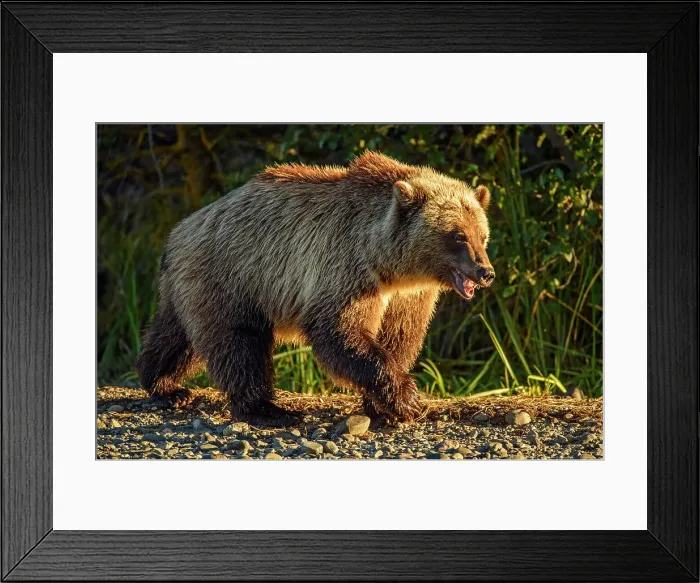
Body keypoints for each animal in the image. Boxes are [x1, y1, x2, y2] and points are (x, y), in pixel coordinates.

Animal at [135, 151, 495, 426]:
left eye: (482, 235)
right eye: (458, 235)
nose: (485, 272)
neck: (392, 267)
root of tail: (180, 229)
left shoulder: (408, 297)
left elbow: (400, 338)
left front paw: (383, 404)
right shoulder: (346, 267)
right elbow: (339, 331)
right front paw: (407, 399)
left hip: (191, 285)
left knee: (175, 336)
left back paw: (164, 384)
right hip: (231, 276)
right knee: (239, 343)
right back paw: (268, 410)